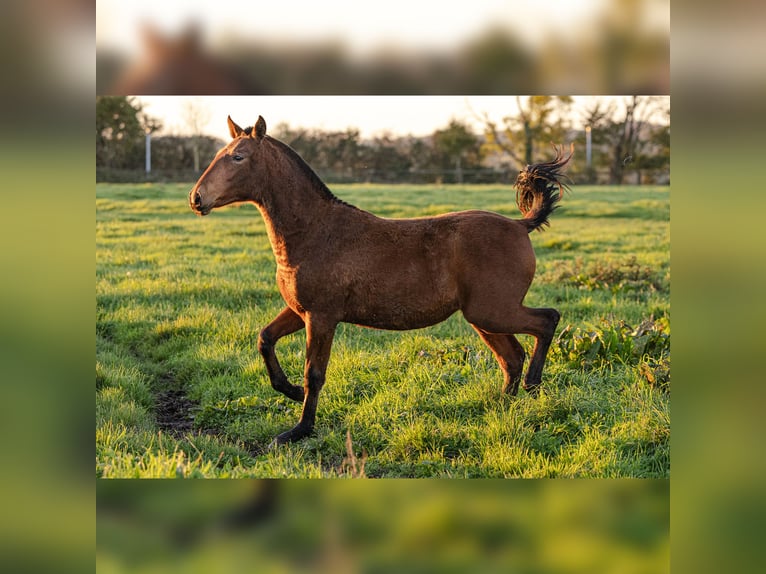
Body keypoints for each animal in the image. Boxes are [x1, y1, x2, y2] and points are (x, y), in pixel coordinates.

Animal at [190, 116, 572, 446]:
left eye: (238, 157)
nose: (196, 198)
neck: (315, 232)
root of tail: (520, 225)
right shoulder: (300, 311)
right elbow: (265, 339)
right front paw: (291, 392)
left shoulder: (321, 317)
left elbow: (314, 373)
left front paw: (299, 430)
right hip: (483, 317)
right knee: (512, 356)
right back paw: (502, 407)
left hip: (492, 311)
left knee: (546, 321)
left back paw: (532, 386)